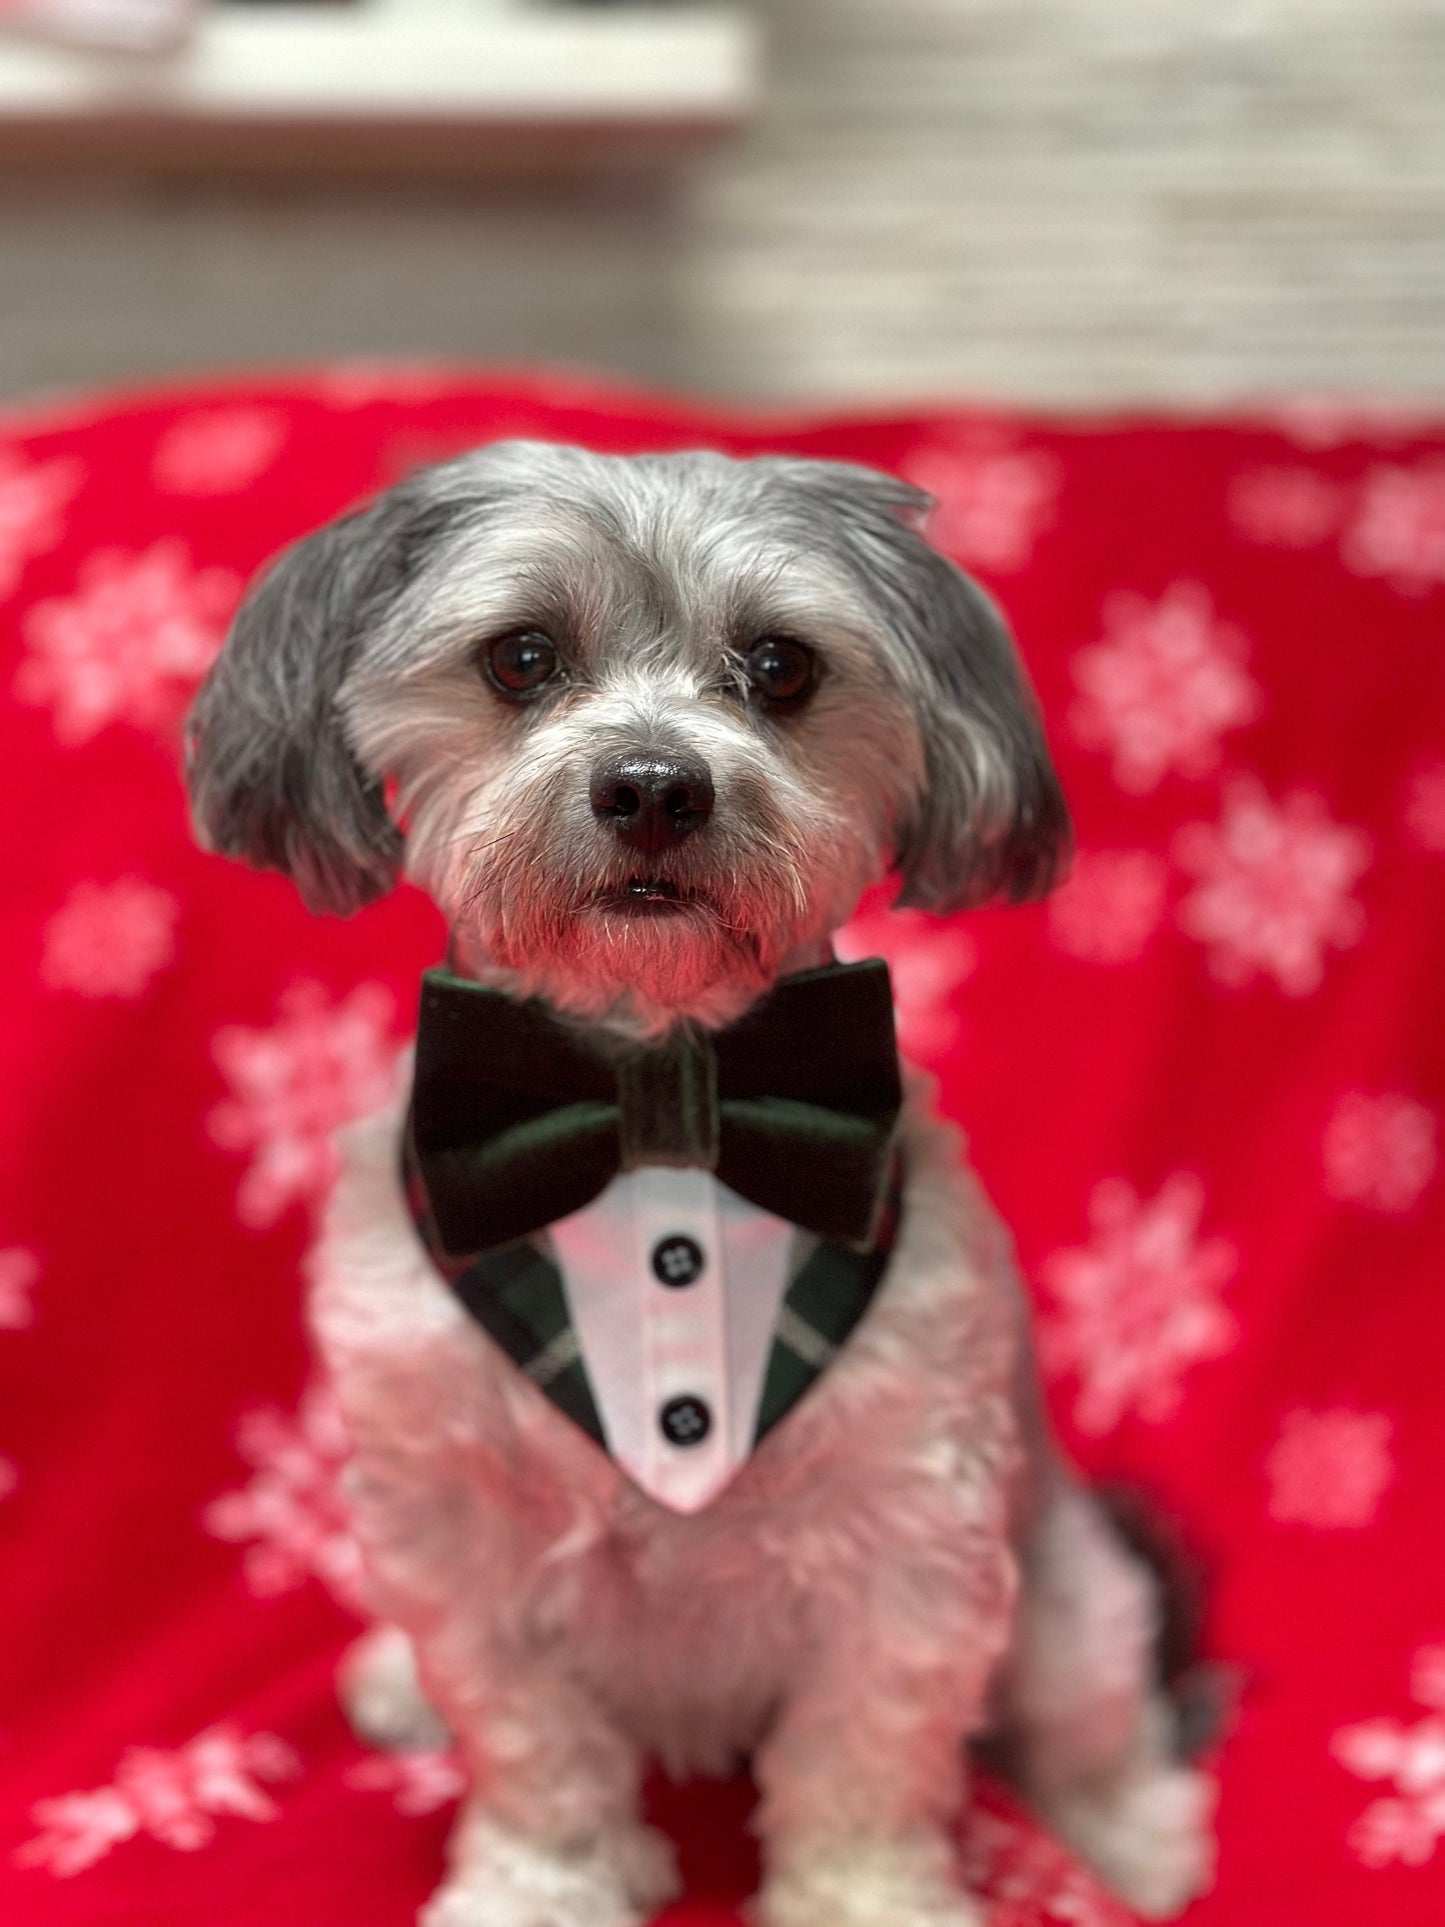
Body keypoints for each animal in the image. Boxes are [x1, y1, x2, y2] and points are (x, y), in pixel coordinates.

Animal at [186, 441, 1217, 1927]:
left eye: (780, 666)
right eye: (521, 656)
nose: (654, 785)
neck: (657, 1092)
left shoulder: (909, 1526)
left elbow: (865, 1753)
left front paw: (869, 1901)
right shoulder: (458, 1530)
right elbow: (532, 1743)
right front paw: (538, 1885)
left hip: (1070, 1604)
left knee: (1092, 1716)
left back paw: (1125, 1836)